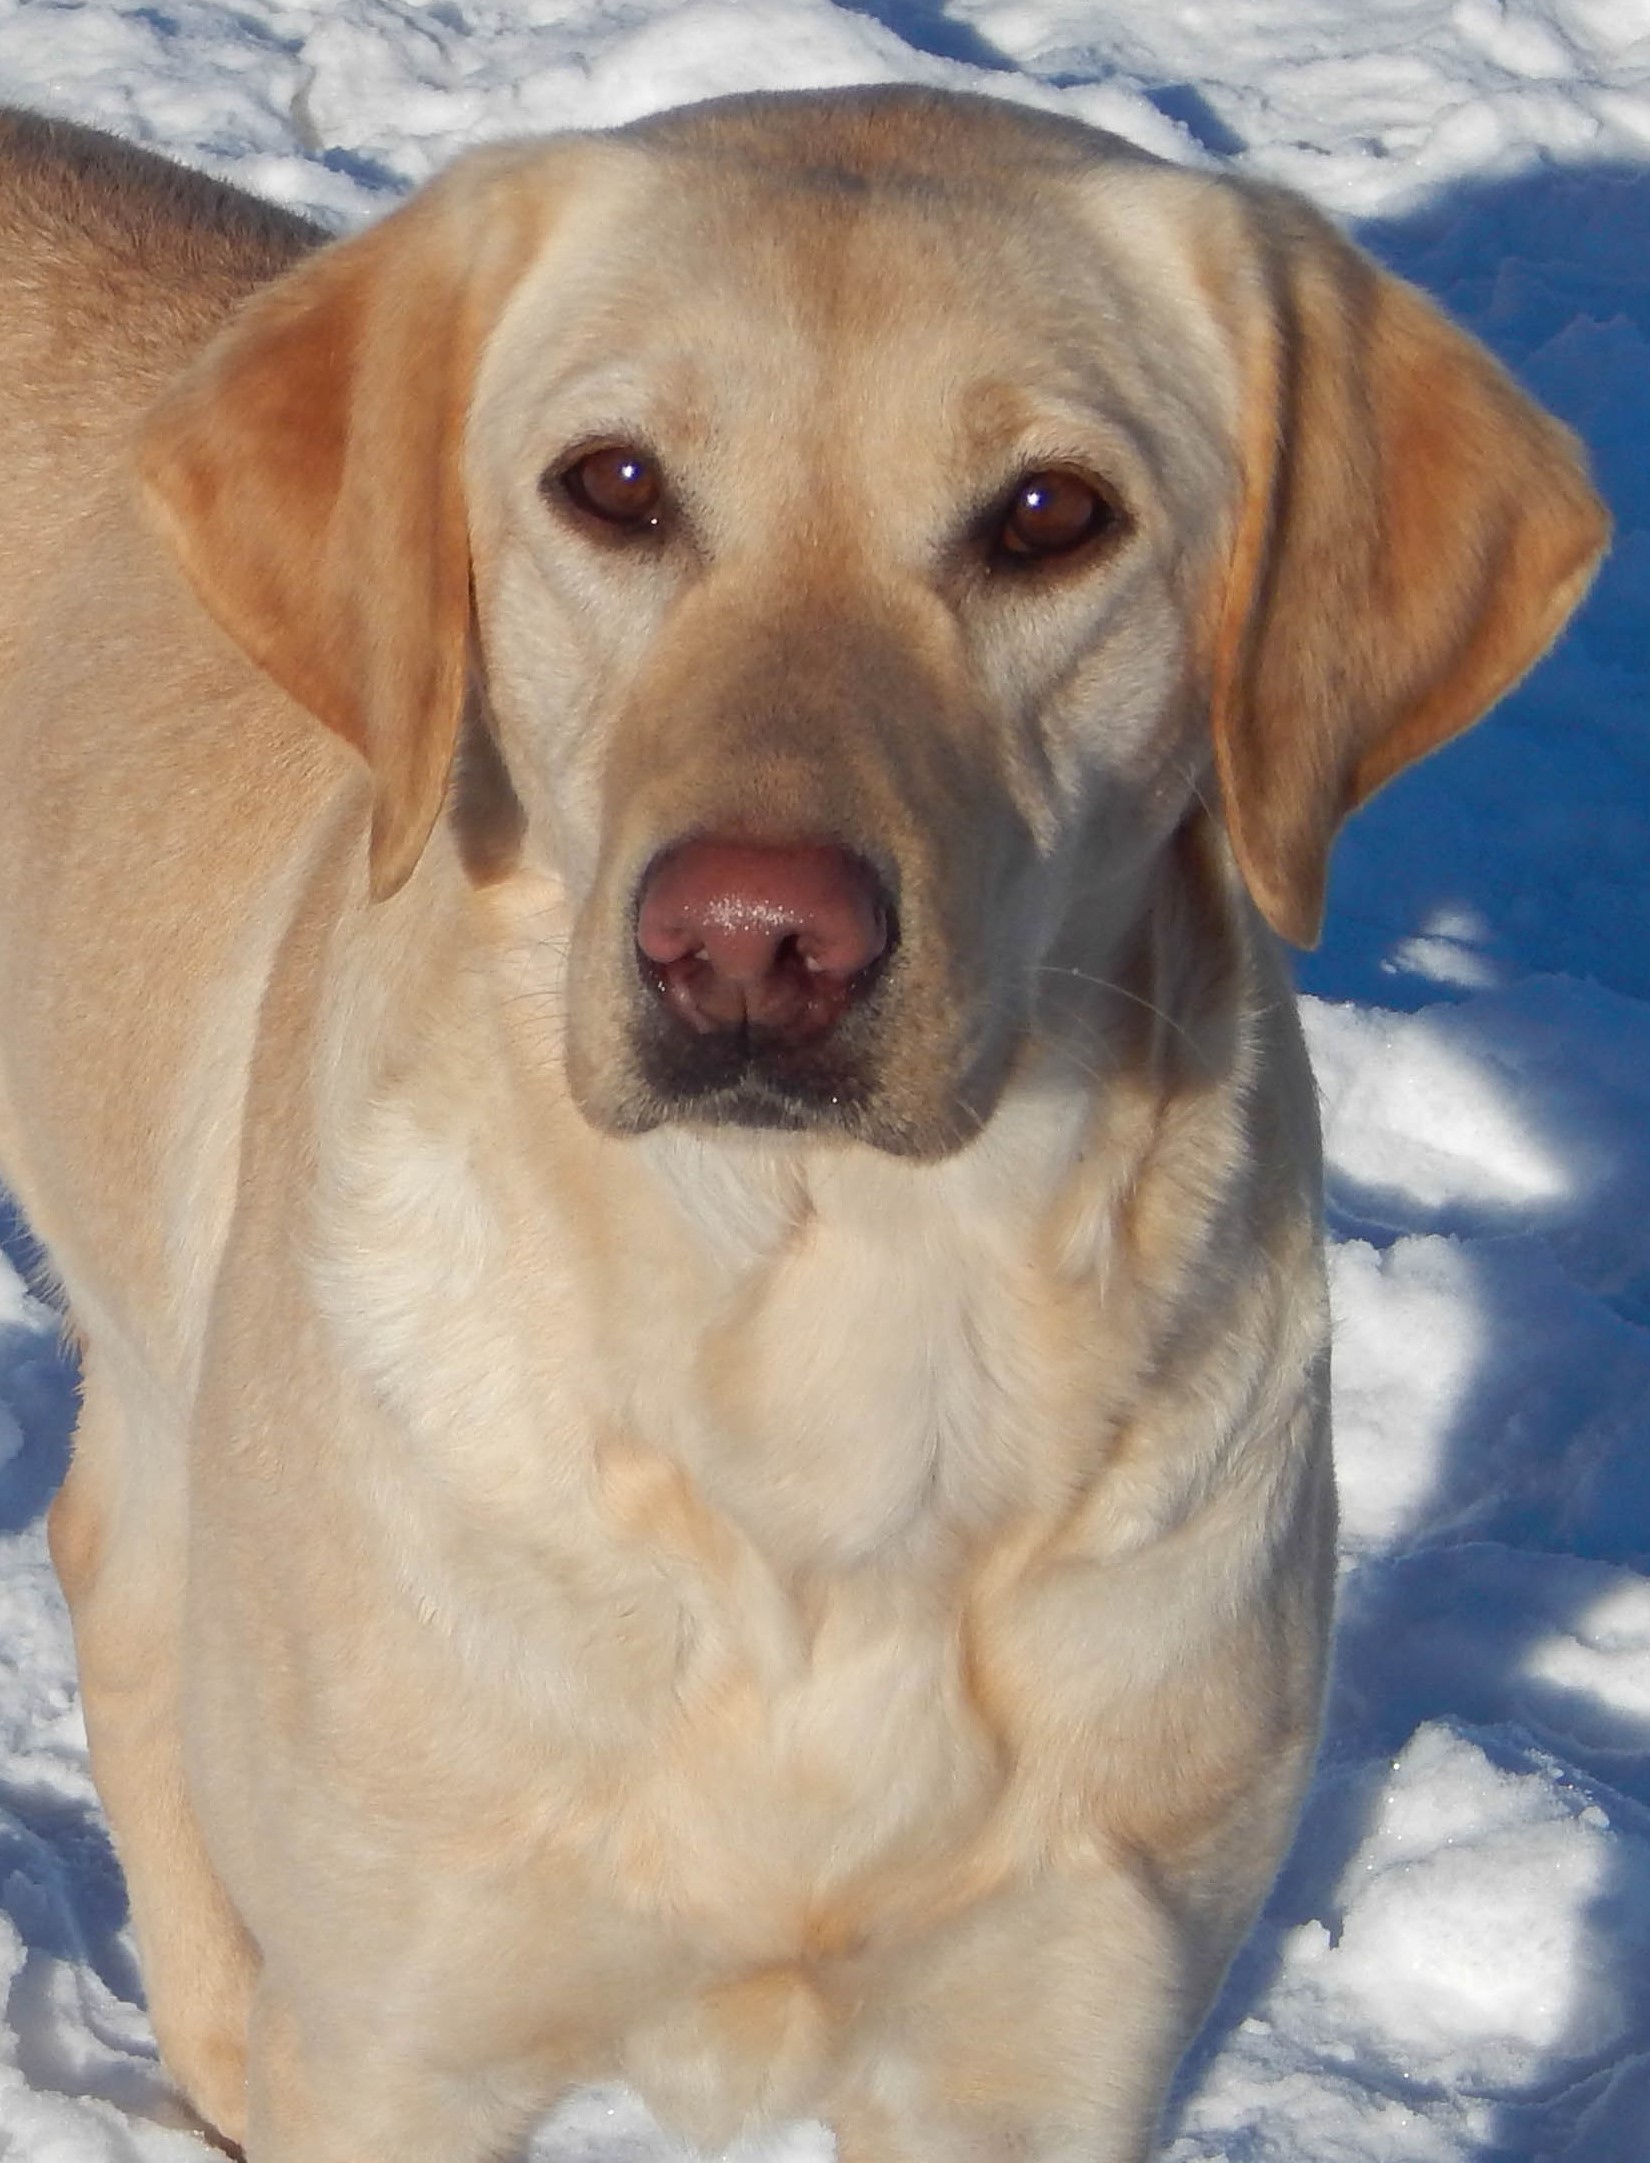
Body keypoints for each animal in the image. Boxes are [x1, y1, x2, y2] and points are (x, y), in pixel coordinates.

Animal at [0, 88, 1608, 2163]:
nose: (753, 941)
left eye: (1049, 513)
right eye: (613, 483)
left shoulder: (1056, 2041)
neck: (831, 1344)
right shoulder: (398, 2040)